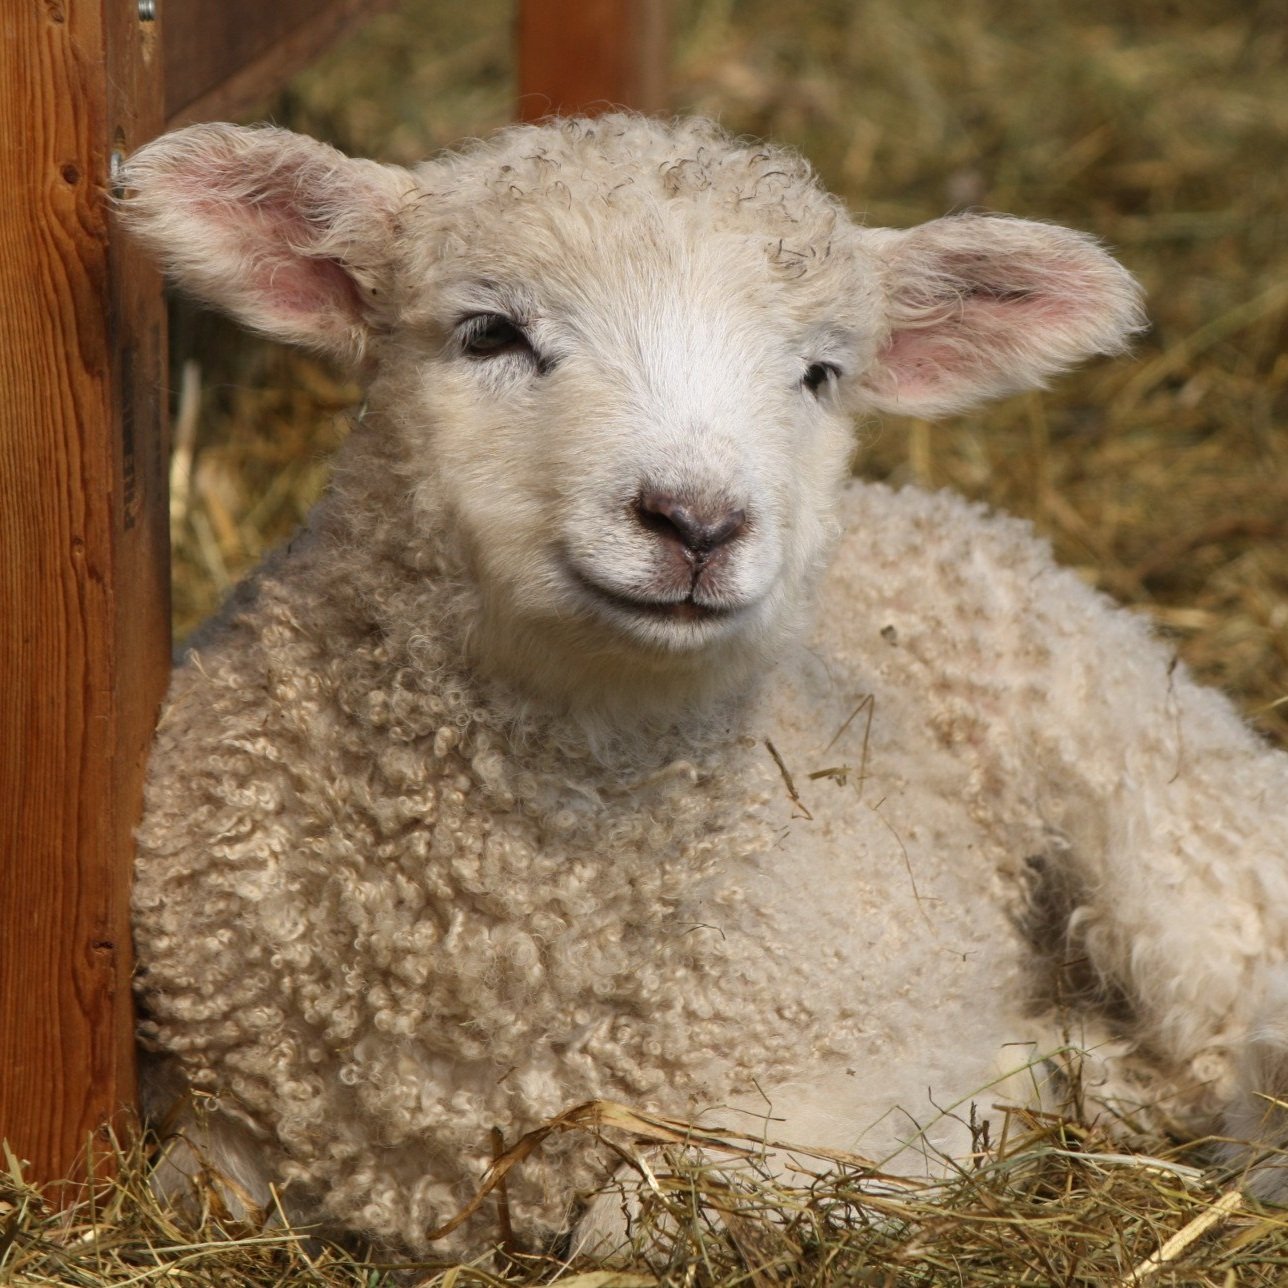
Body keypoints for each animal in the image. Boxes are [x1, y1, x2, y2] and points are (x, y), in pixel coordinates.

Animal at [120, 113, 1288, 1256]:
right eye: (490, 333)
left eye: (820, 375)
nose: (697, 521)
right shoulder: (215, 1108)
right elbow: (197, 1184)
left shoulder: (857, 1077)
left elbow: (633, 1219)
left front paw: (1009, 1093)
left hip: (1158, 814)